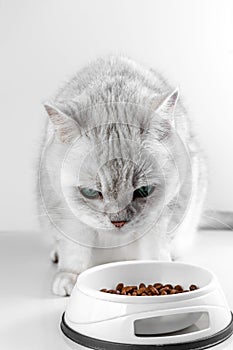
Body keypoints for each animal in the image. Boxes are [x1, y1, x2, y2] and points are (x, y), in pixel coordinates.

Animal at [38, 56, 208, 296]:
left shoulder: (167, 211)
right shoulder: (64, 211)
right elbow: (74, 249)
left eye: (143, 191)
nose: (118, 222)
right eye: (91, 192)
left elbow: (155, 249)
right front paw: (69, 276)